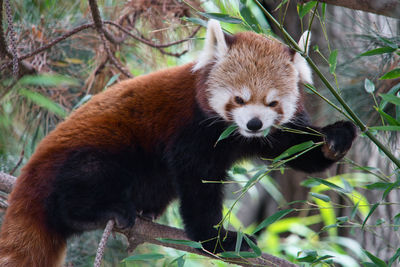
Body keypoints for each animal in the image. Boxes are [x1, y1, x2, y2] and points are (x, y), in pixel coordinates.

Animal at [0, 19, 356, 266]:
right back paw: (100, 210)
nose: (253, 123)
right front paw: (215, 239)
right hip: (87, 158)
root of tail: (30, 174)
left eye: (272, 103)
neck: (231, 133)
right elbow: (197, 183)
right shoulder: (191, 130)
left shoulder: (266, 135)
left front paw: (335, 138)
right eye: (239, 99)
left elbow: (294, 149)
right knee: (83, 183)